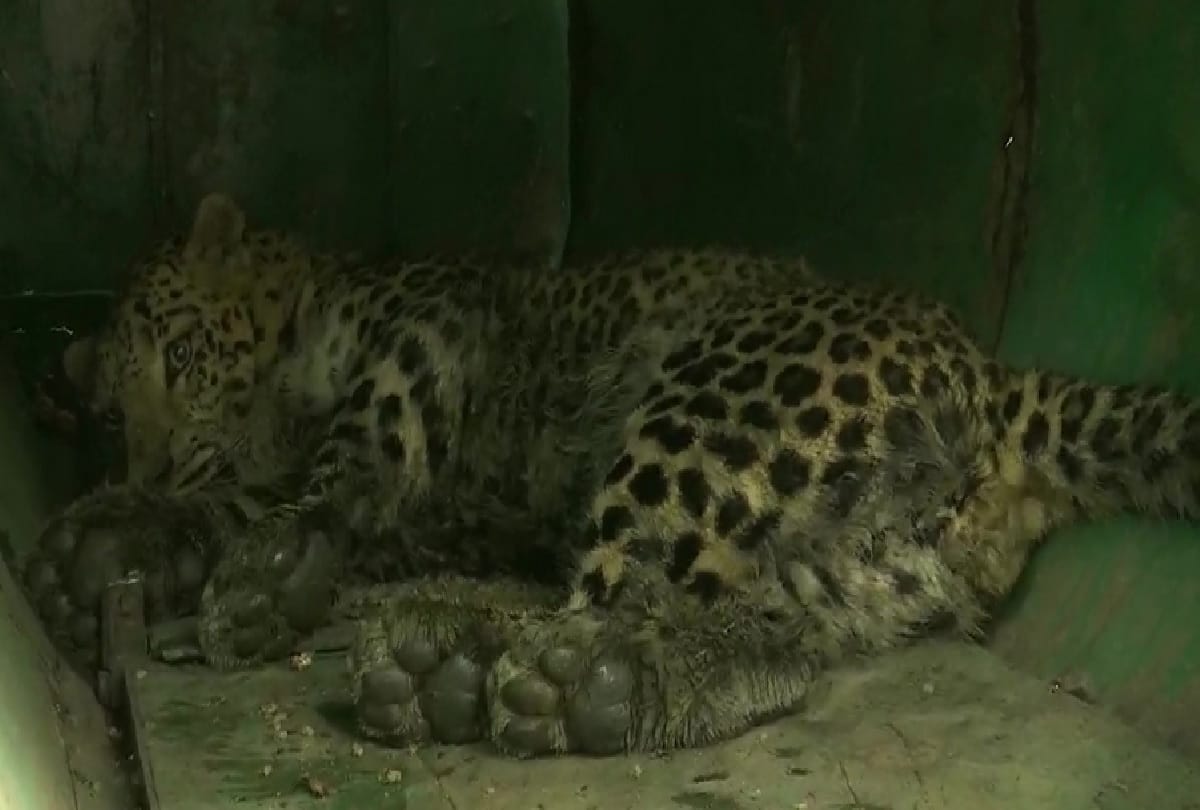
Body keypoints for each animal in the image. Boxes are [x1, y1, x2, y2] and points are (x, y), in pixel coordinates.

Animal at [21, 191, 1200, 758]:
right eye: (114, 413)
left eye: (181, 356)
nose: (152, 448)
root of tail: (1002, 381)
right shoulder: (435, 511)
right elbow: (266, 498)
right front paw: (119, 537)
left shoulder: (430, 328)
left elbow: (347, 452)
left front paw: (262, 565)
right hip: (861, 564)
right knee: (774, 635)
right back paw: (547, 679)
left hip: (706, 409)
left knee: (634, 587)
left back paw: (494, 661)